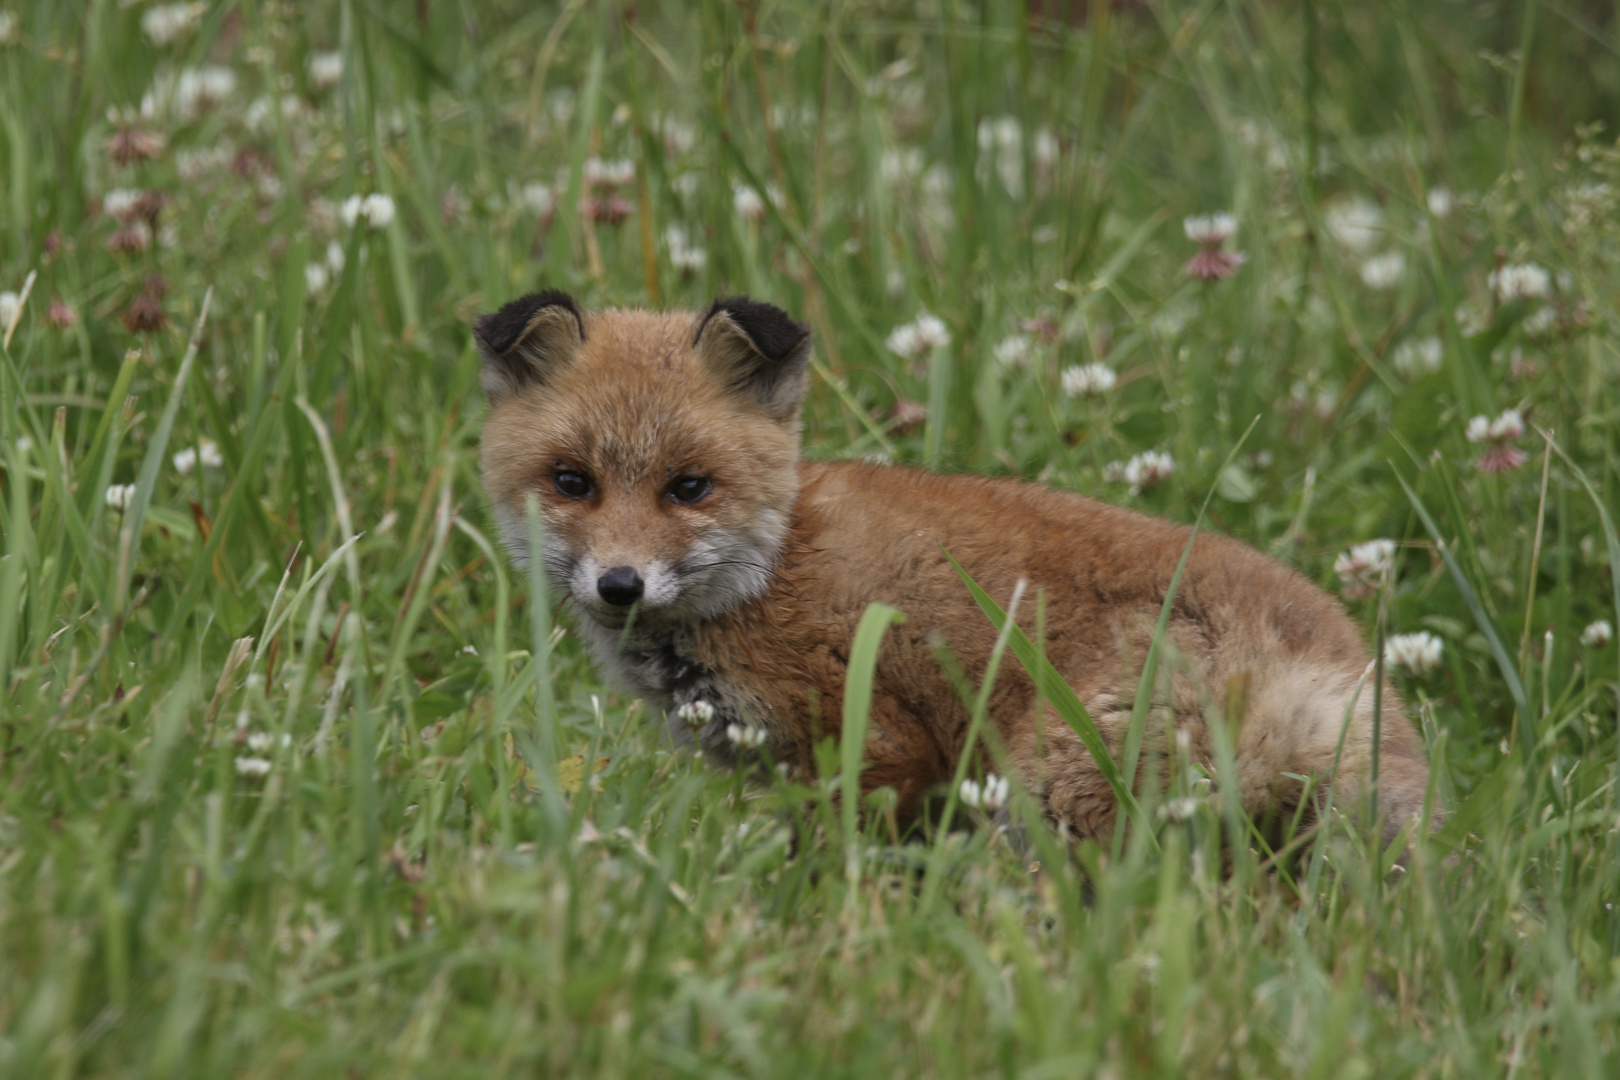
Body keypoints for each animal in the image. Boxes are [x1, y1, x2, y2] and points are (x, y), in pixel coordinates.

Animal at [473, 291, 1438, 848]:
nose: (620, 585)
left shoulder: (877, 745)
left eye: (689, 488)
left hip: (1050, 785)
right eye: (572, 482)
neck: (771, 573)